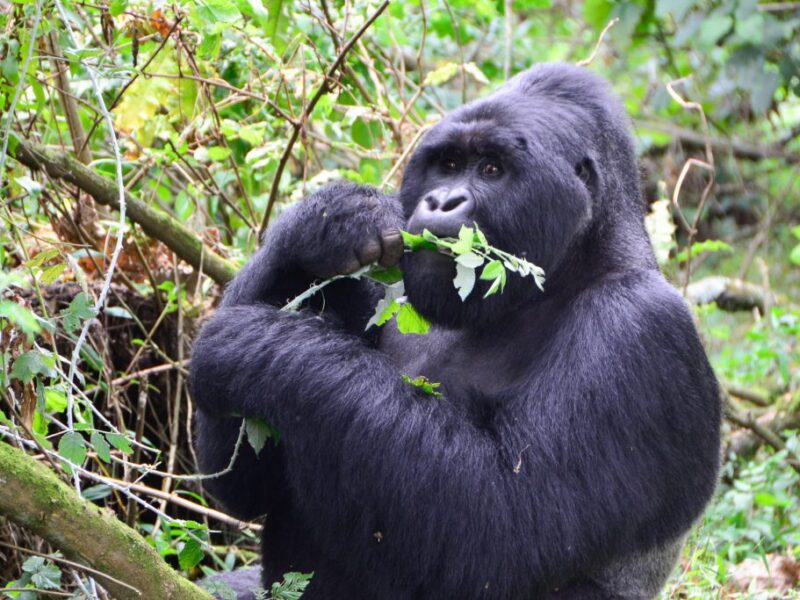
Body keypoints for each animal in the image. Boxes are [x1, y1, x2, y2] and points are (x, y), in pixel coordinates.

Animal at [191, 63, 720, 596]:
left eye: (491, 170)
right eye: (447, 164)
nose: (443, 201)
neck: (576, 261)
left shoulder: (638, 328)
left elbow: (504, 528)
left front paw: (255, 348)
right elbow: (244, 483)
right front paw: (329, 222)